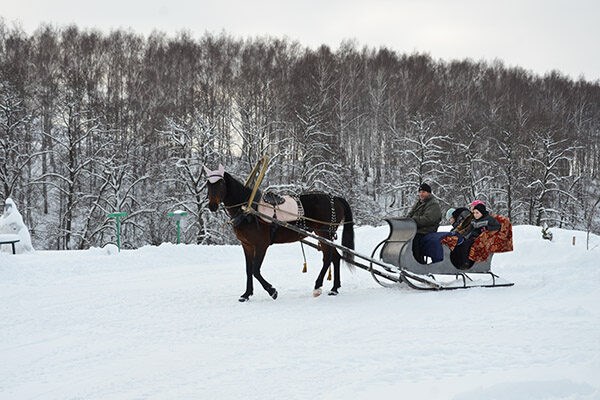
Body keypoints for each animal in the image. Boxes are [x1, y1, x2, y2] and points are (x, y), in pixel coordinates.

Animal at [206, 164, 356, 302]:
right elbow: (249, 270)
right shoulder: (247, 245)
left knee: (327, 258)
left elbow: (255, 270)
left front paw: (272, 291)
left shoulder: (261, 245)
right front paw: (246, 294)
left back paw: (317, 287)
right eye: (208, 184)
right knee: (335, 257)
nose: (212, 206)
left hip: (324, 233)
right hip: (325, 235)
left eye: (221, 183)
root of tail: (335, 198)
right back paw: (334, 288)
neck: (248, 209)